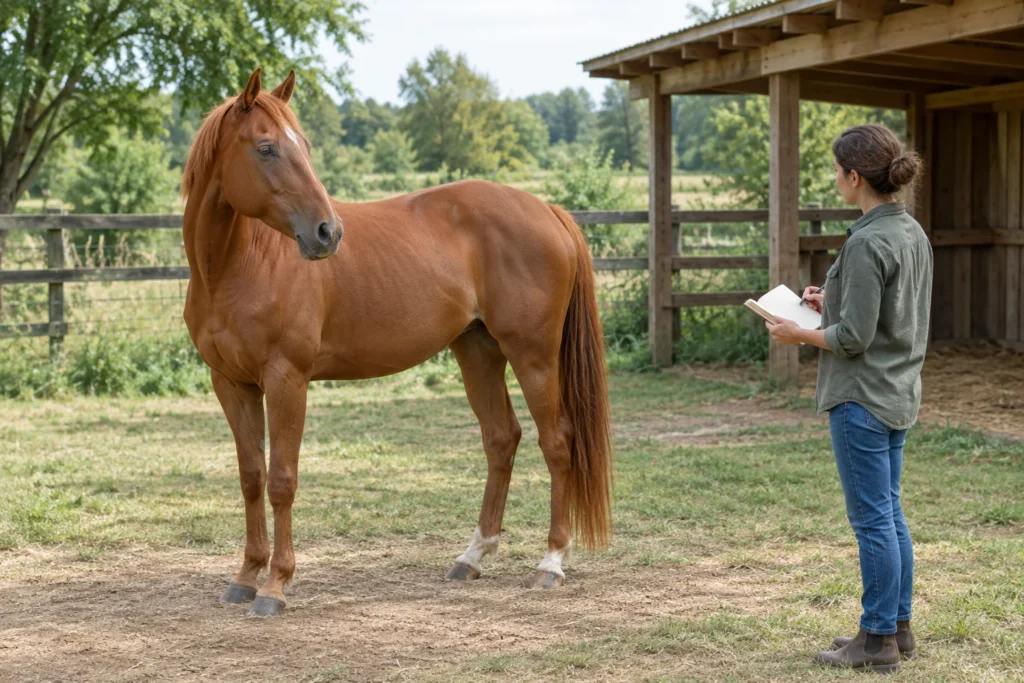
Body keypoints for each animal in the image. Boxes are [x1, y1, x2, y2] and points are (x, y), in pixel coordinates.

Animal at [181, 68, 612, 617]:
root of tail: (547, 209)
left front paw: (276, 586)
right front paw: (244, 577)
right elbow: (251, 477)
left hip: (533, 357)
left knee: (557, 442)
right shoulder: (231, 384)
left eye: (303, 146)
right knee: (501, 439)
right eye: (266, 148)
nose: (327, 232)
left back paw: (551, 562)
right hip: (478, 351)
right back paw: (471, 557)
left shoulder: (286, 380)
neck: (239, 266)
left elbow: (282, 480)